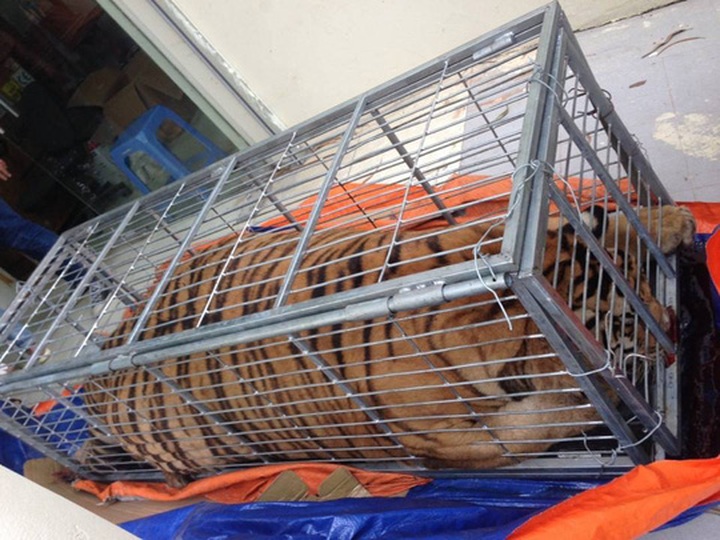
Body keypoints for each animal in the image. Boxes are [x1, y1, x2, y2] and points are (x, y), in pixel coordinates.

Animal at [83, 204, 695, 486]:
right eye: (620, 325)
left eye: (642, 280)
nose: (675, 328)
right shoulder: (466, 444)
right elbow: (551, 414)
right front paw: (613, 399)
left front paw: (666, 220)